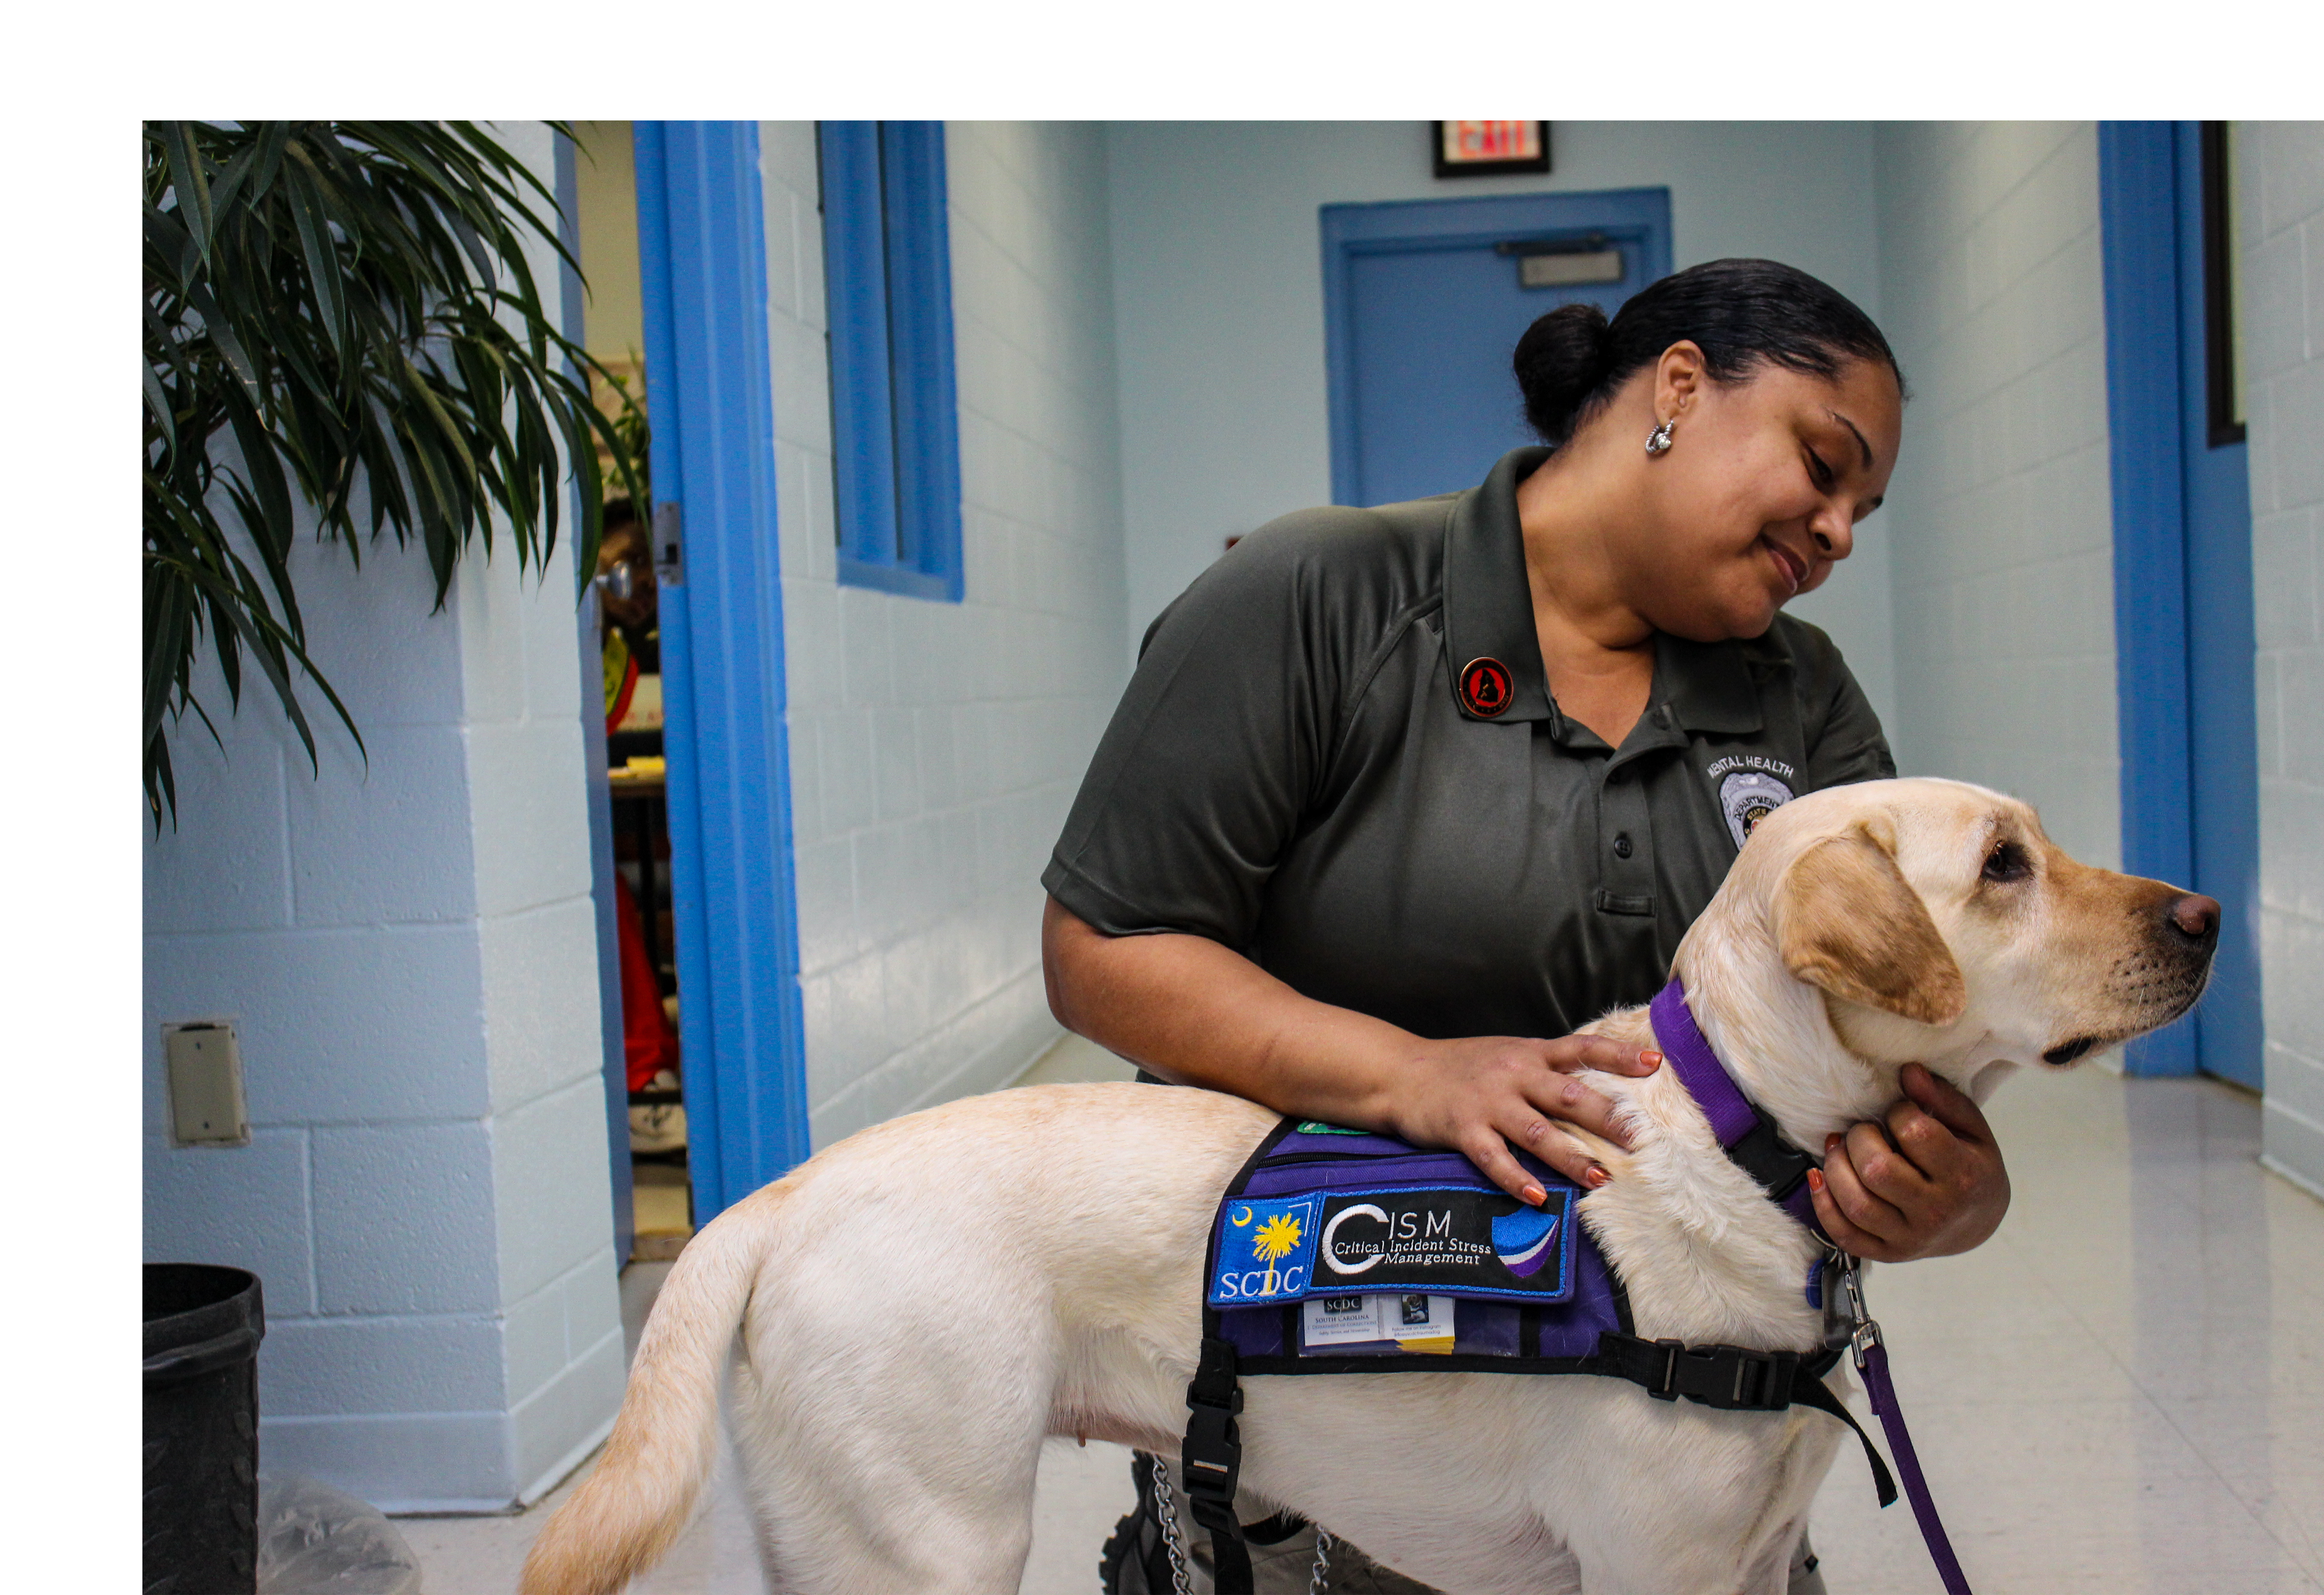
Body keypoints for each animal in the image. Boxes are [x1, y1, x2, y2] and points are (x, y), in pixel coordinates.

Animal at [523, 776, 2212, 1595]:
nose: (2201, 915)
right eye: (2000, 864)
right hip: (929, 1544)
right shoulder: (1652, 1572)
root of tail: (780, 1193)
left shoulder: (1730, 1571)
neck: (1742, 1138)